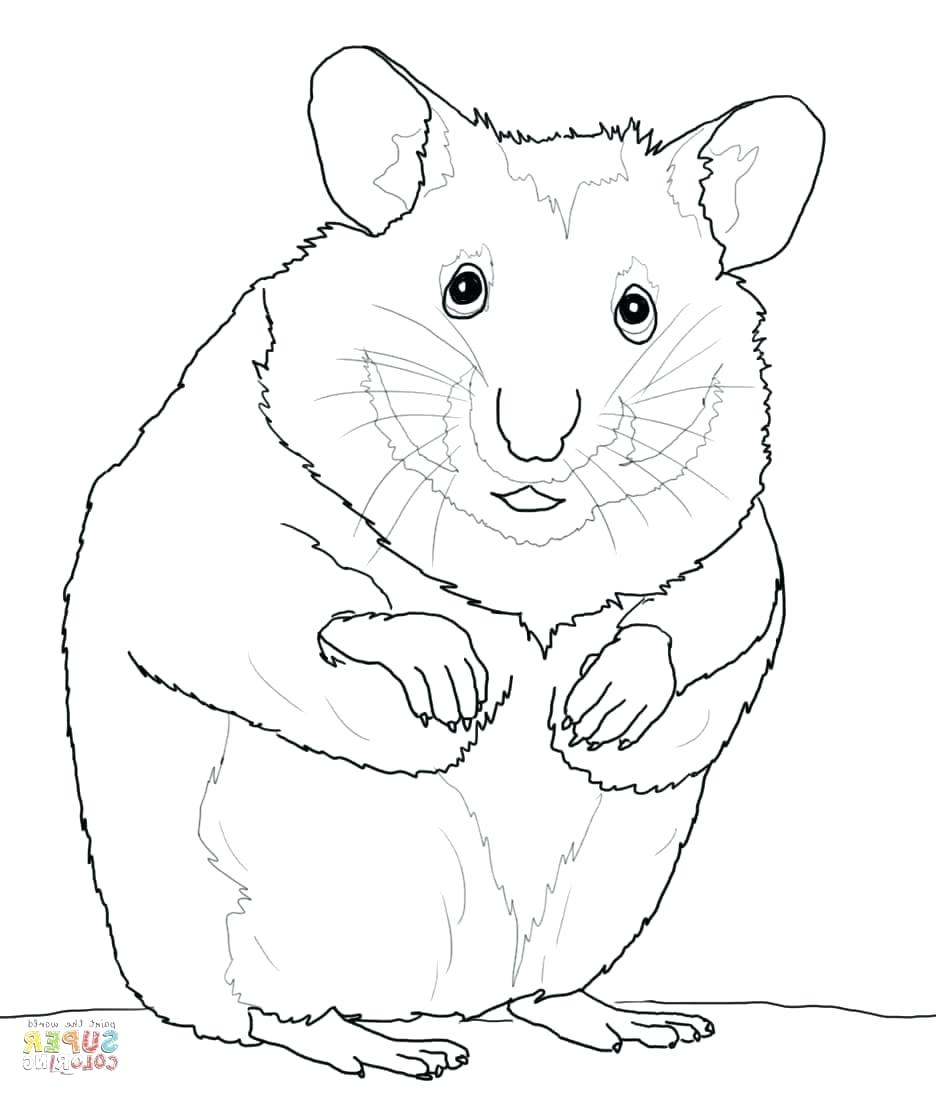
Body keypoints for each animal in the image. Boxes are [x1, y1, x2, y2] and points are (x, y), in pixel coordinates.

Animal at [63, 45, 824, 1078]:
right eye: (463, 288)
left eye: (637, 310)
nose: (535, 445)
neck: (525, 553)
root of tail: (460, 999)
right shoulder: (205, 497)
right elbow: (274, 583)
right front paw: (461, 680)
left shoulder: (732, 529)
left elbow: (714, 606)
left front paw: (595, 709)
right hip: (273, 907)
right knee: (276, 1012)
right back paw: (392, 1048)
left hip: (599, 897)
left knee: (541, 991)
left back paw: (632, 1023)